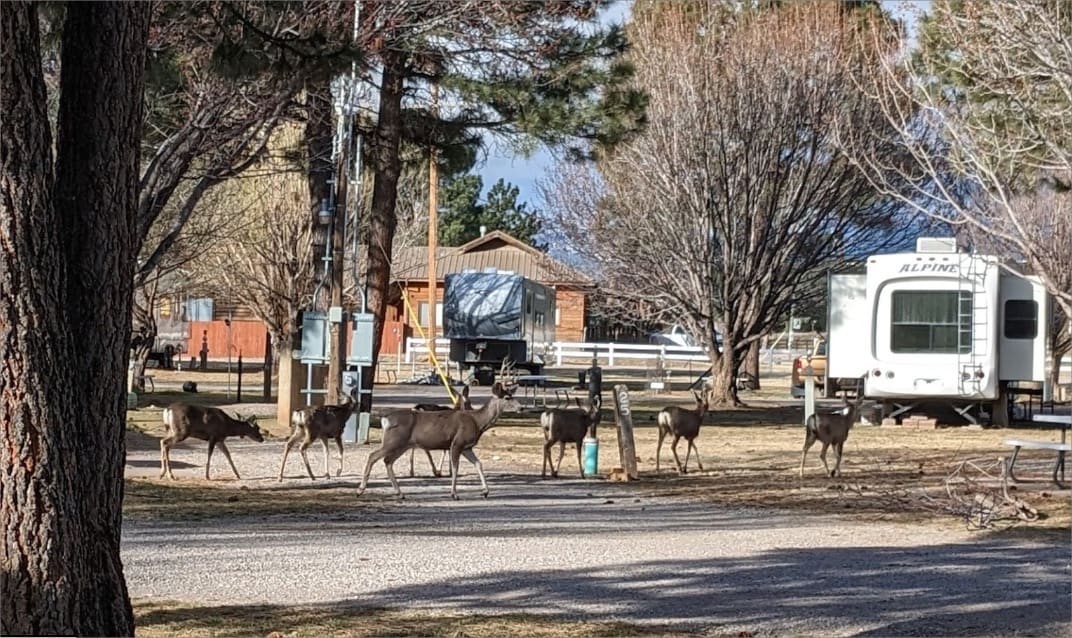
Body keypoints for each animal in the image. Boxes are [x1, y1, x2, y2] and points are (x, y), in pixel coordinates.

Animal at [360, 379, 523, 499]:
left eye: (512, 395)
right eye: (507, 397)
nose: (521, 408)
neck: (478, 422)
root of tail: (385, 418)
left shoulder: (467, 447)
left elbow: (478, 464)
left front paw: (485, 491)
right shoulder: (457, 442)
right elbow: (456, 468)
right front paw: (454, 494)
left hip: (402, 444)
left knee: (387, 461)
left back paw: (400, 493)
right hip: (394, 440)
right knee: (373, 455)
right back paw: (360, 490)